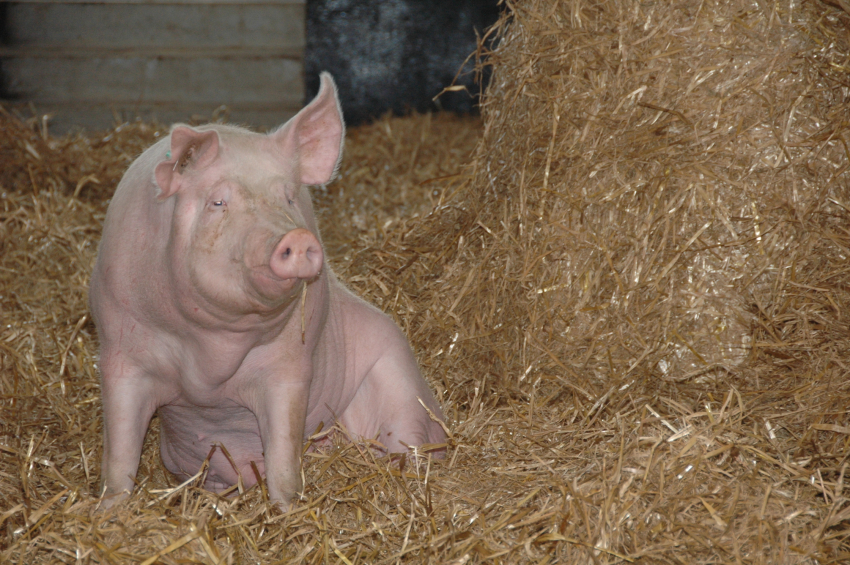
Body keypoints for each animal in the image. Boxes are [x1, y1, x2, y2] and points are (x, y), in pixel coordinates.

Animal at [89, 71, 448, 506]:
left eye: (289, 198)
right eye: (218, 202)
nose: (295, 237)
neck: (211, 359)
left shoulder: (289, 367)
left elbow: (282, 457)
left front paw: (288, 508)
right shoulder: (119, 353)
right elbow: (120, 454)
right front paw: (108, 510)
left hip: (400, 383)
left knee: (409, 442)